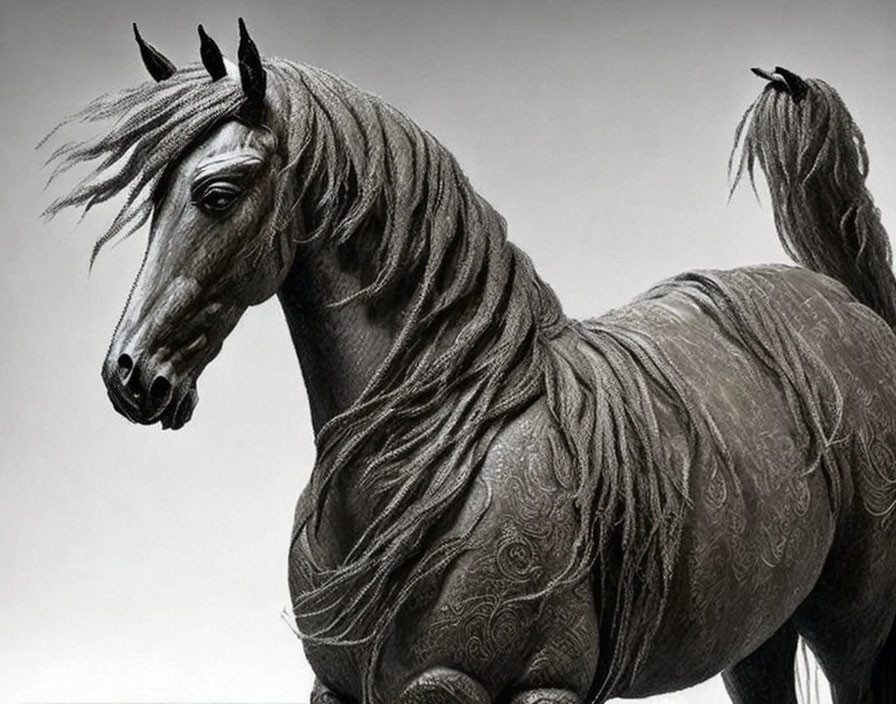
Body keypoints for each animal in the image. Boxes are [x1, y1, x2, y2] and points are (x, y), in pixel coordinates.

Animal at [43, 22, 896, 704]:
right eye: (155, 197)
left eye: (217, 194)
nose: (130, 374)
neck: (433, 449)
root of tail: (851, 308)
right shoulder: (341, 690)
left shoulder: (525, 690)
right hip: (758, 634)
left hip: (851, 633)